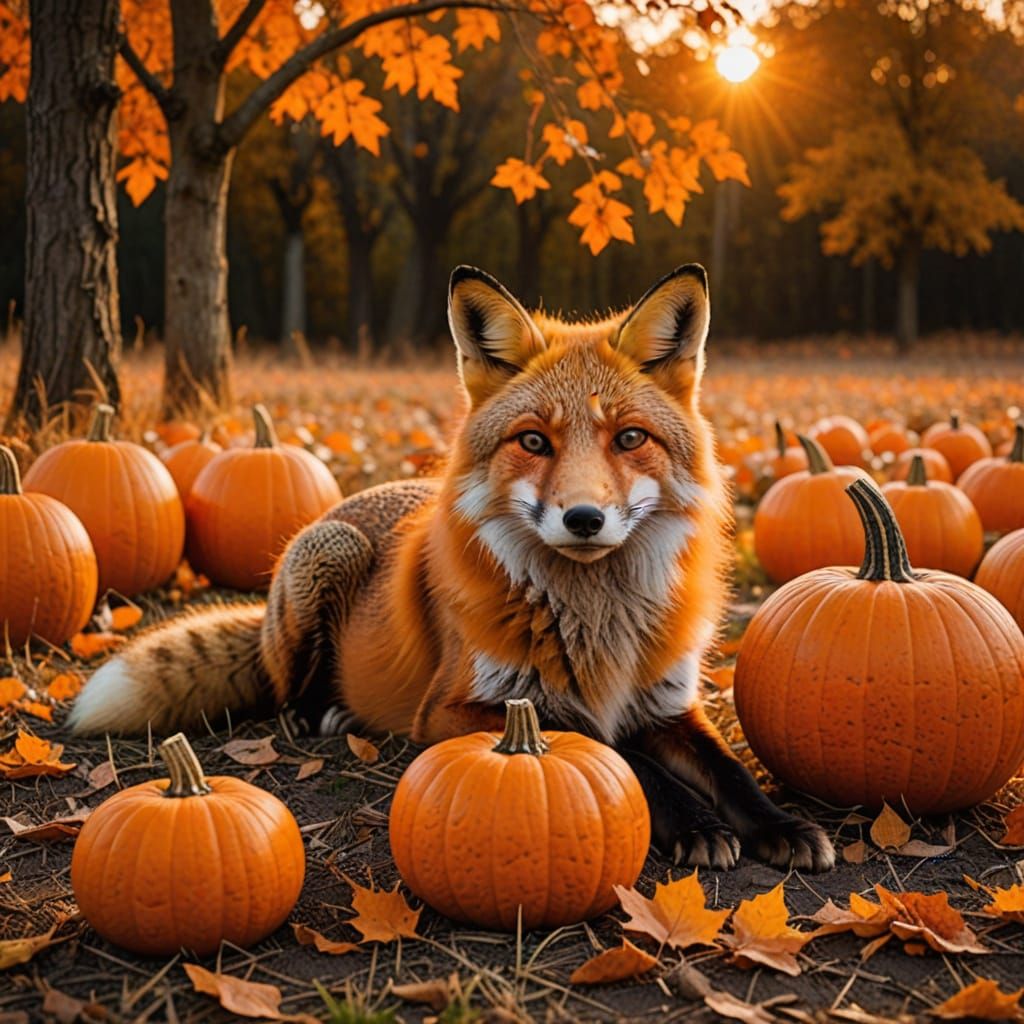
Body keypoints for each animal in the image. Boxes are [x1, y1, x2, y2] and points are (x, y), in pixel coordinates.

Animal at [69, 264, 835, 872]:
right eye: (533, 441)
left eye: (629, 439)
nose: (584, 519)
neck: (595, 624)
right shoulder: (457, 711)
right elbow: (620, 756)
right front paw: (696, 823)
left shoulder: (666, 704)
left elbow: (730, 771)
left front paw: (780, 824)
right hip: (330, 553)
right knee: (284, 691)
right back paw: (324, 710)